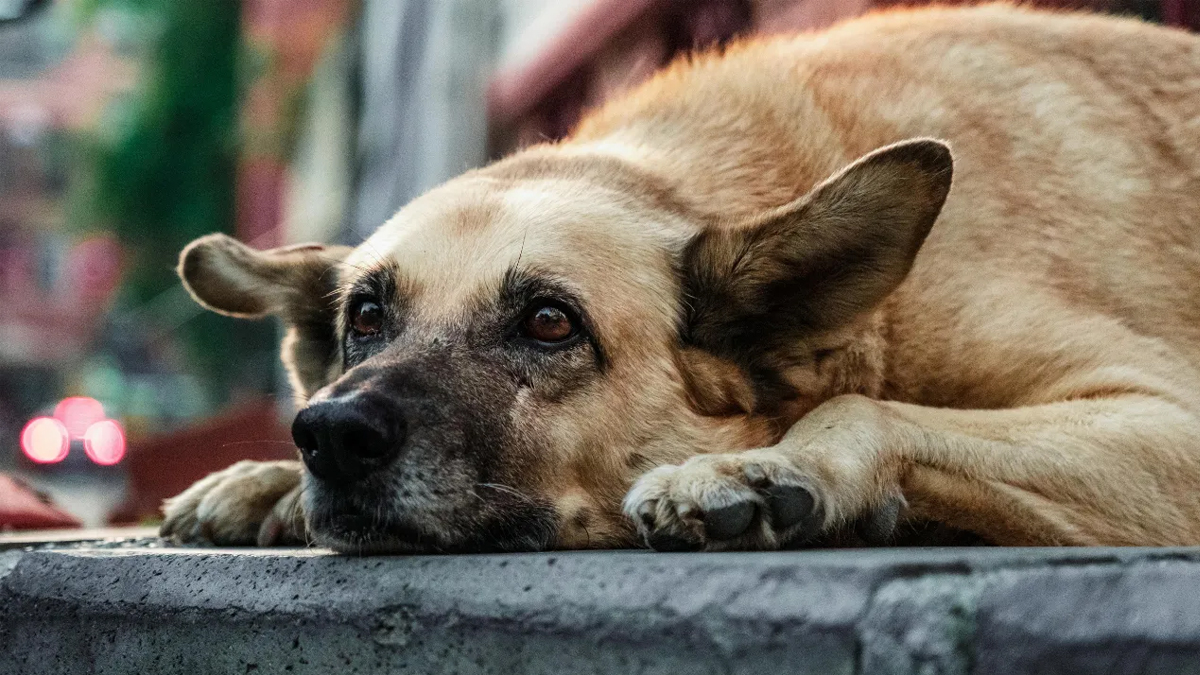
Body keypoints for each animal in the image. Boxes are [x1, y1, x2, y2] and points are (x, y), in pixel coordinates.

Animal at [159, 3, 1200, 552]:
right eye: (366, 318)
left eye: (550, 322)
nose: (330, 435)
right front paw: (267, 481)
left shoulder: (1168, 419)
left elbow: (864, 407)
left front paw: (766, 465)